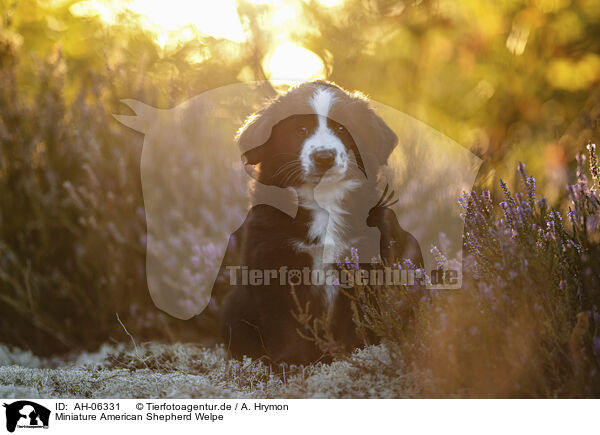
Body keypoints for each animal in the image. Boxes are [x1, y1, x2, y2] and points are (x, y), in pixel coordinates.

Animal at [219, 81, 422, 364]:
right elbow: (285, 322)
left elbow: (358, 317)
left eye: (342, 128)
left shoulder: (365, 263)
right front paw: (290, 361)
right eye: (301, 129)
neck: (324, 203)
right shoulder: (274, 260)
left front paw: (356, 354)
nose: (324, 157)